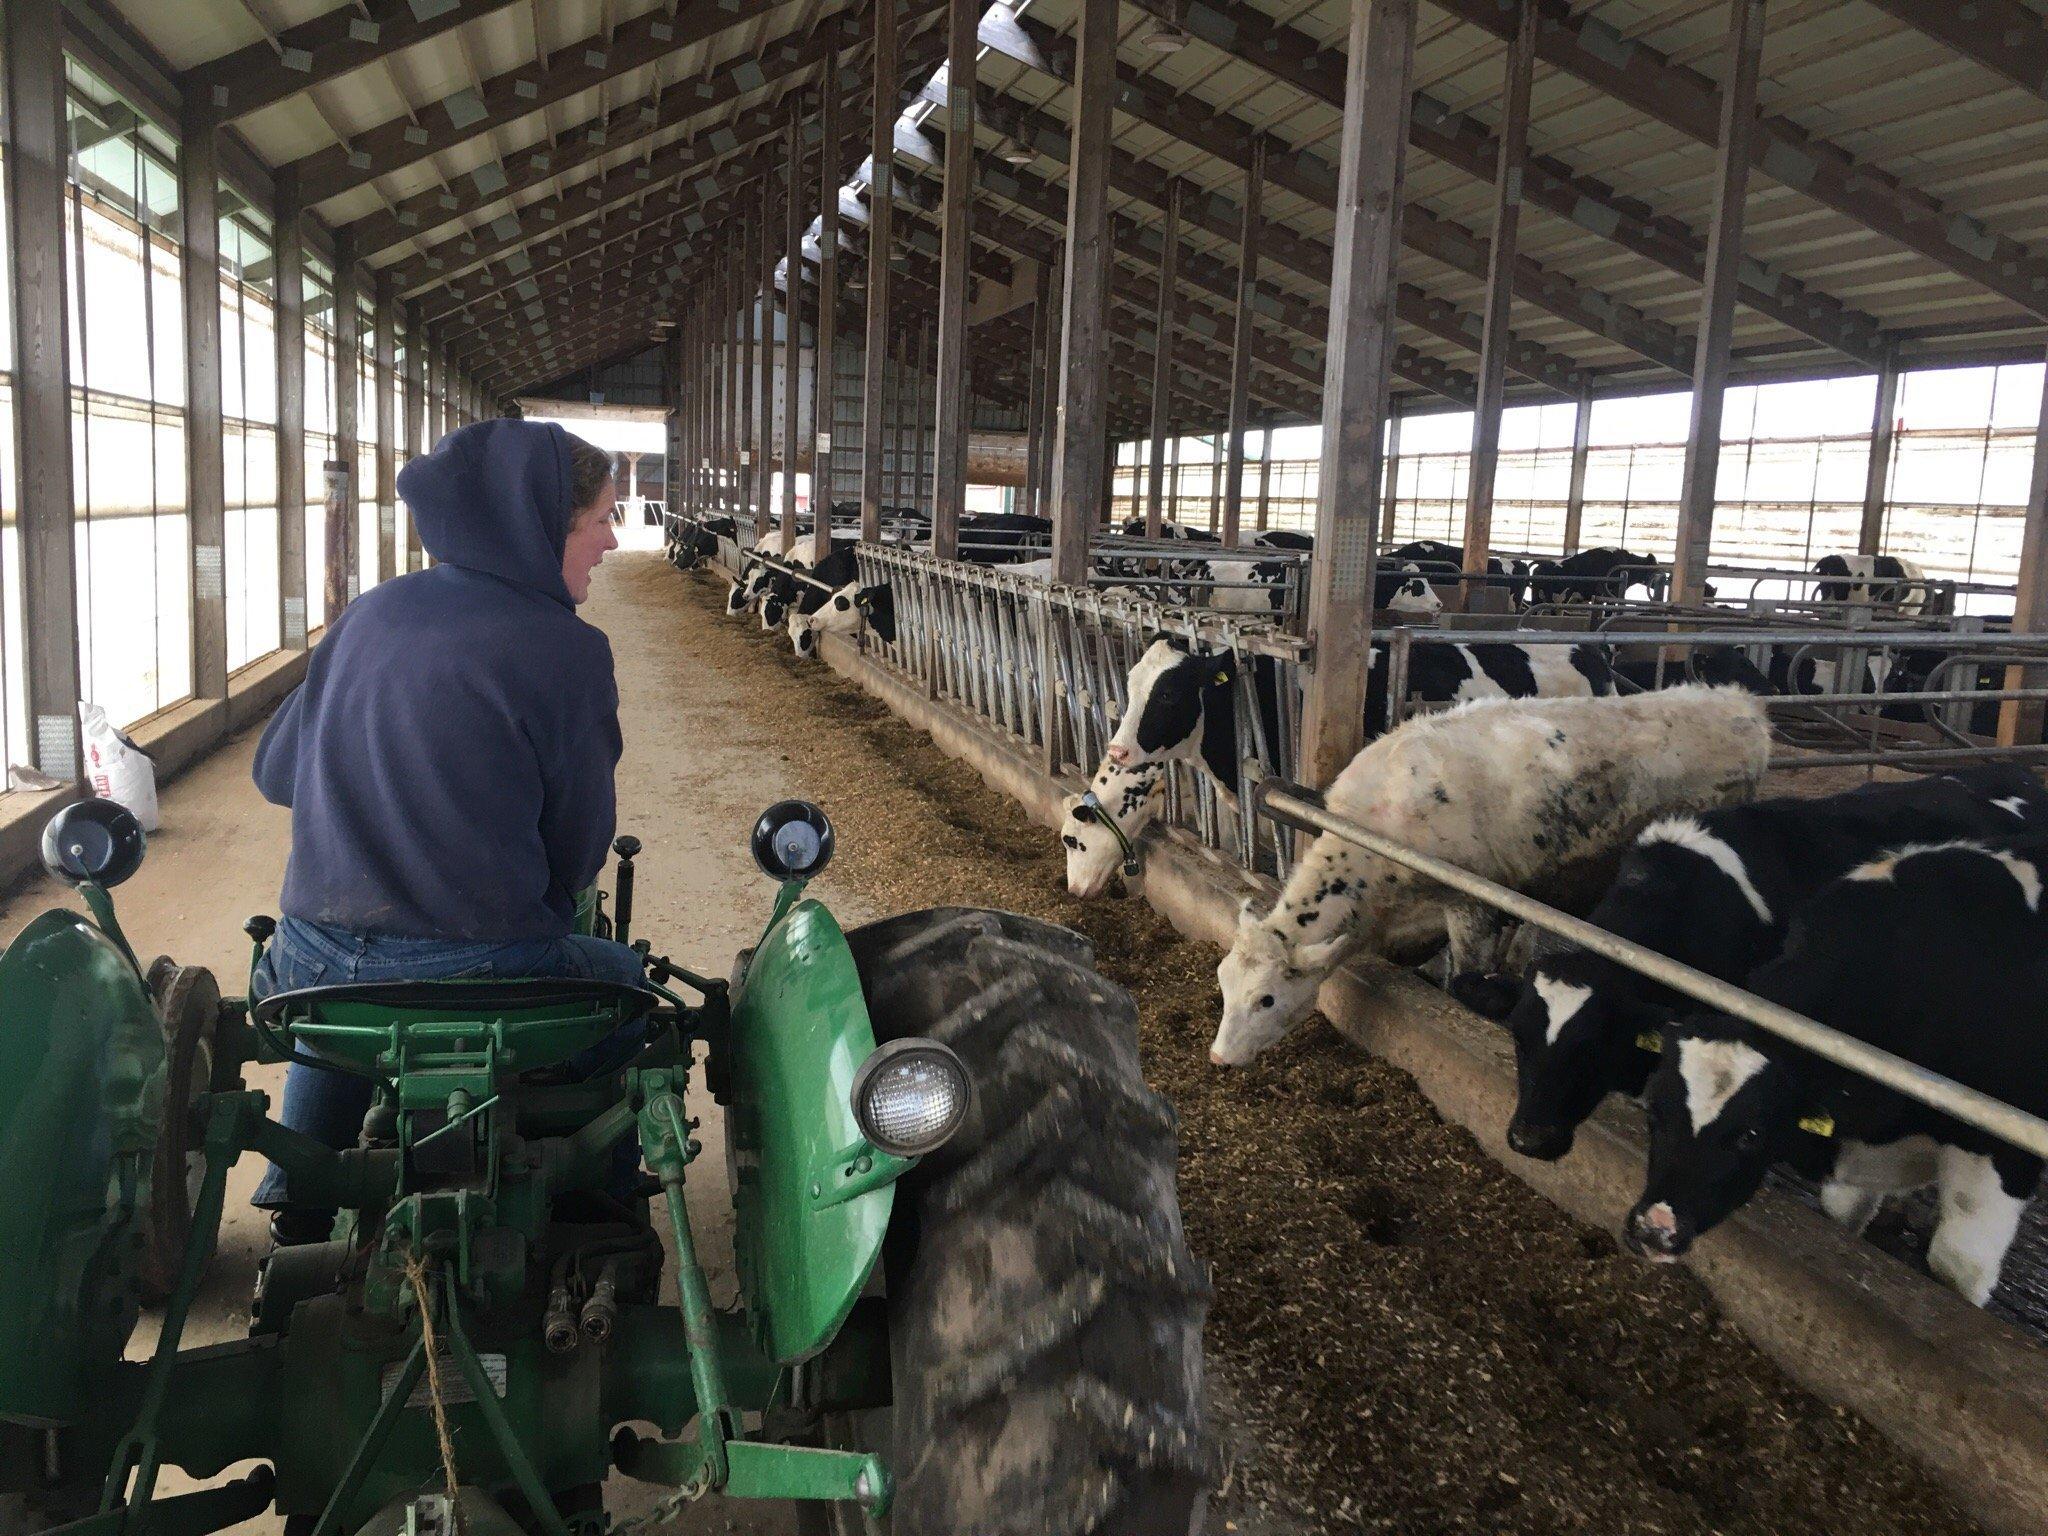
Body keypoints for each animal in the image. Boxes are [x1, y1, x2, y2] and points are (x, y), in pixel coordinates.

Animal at [1204, 688, 1769, 1073]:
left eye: (1266, 999)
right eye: (1223, 981)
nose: (1219, 1058)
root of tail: (1735, 703)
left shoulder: (1469, 901)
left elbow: (1464, 977)